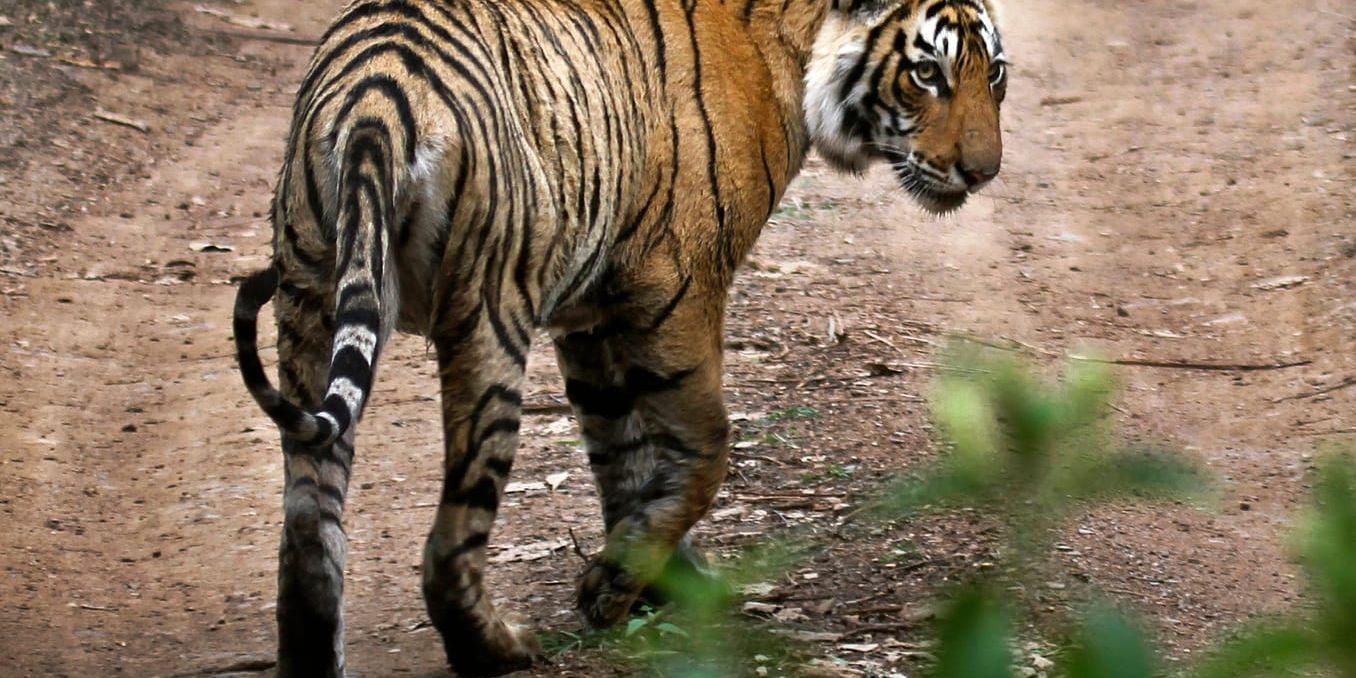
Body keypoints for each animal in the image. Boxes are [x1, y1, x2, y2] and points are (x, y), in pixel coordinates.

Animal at [230, 0, 998, 672]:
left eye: (993, 74)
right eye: (926, 73)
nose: (983, 171)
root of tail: (375, 100)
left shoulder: (591, 311)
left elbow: (621, 452)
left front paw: (645, 579)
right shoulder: (677, 288)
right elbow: (704, 448)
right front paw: (619, 590)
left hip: (310, 300)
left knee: (308, 527)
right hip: (487, 316)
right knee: (450, 540)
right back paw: (499, 650)